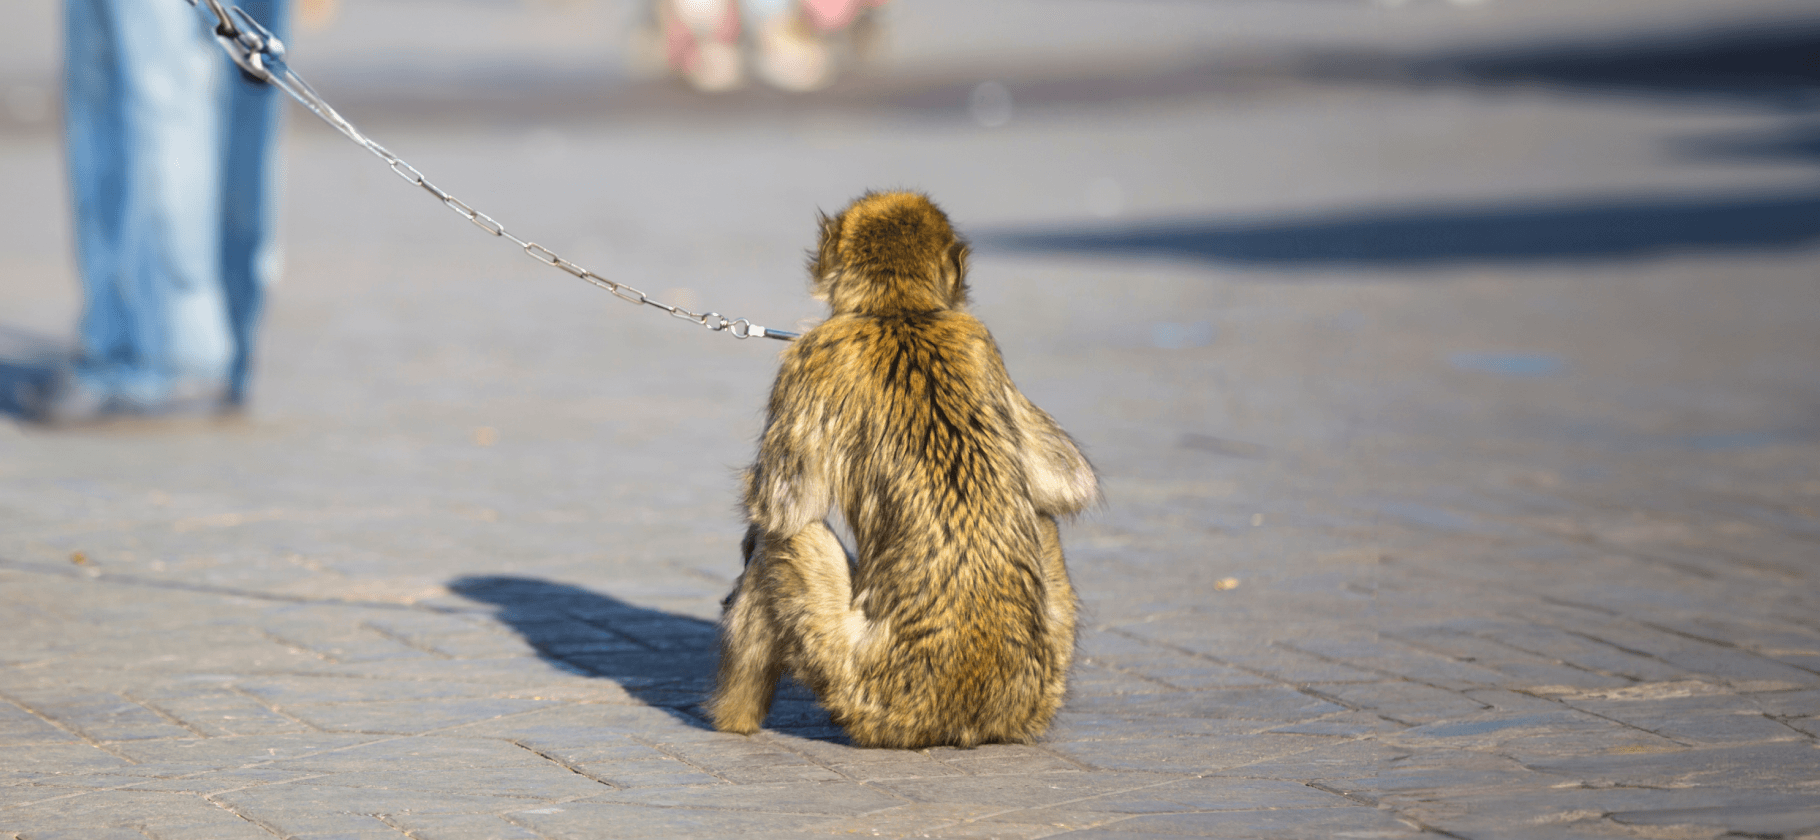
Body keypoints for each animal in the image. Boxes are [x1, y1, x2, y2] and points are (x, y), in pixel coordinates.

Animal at [706, 190, 1099, 749]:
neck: (899, 309)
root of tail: (961, 718)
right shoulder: (979, 339)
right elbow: (1064, 482)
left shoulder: (809, 354)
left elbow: (780, 508)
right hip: (1038, 683)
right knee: (1044, 517)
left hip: (856, 681)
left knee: (788, 536)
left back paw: (731, 719)